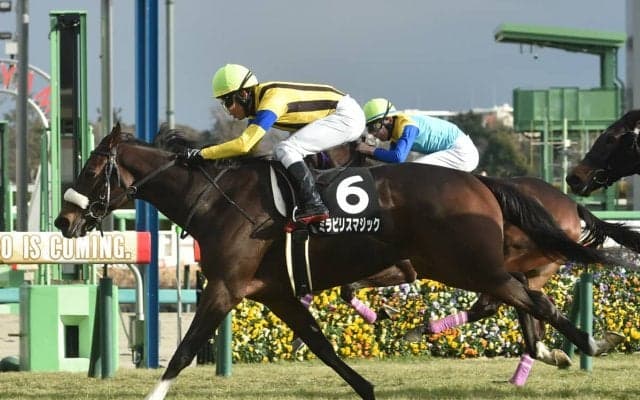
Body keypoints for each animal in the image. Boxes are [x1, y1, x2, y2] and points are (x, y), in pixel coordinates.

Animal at [55, 124, 626, 400]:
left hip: (469, 264)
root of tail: (483, 182)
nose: (64, 220)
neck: (218, 199)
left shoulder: (223, 287)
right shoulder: (276, 292)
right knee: (521, 300)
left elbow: (183, 352)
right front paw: (368, 388)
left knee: (527, 300)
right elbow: (323, 347)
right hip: (457, 264)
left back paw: (587, 344)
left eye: (91, 168)